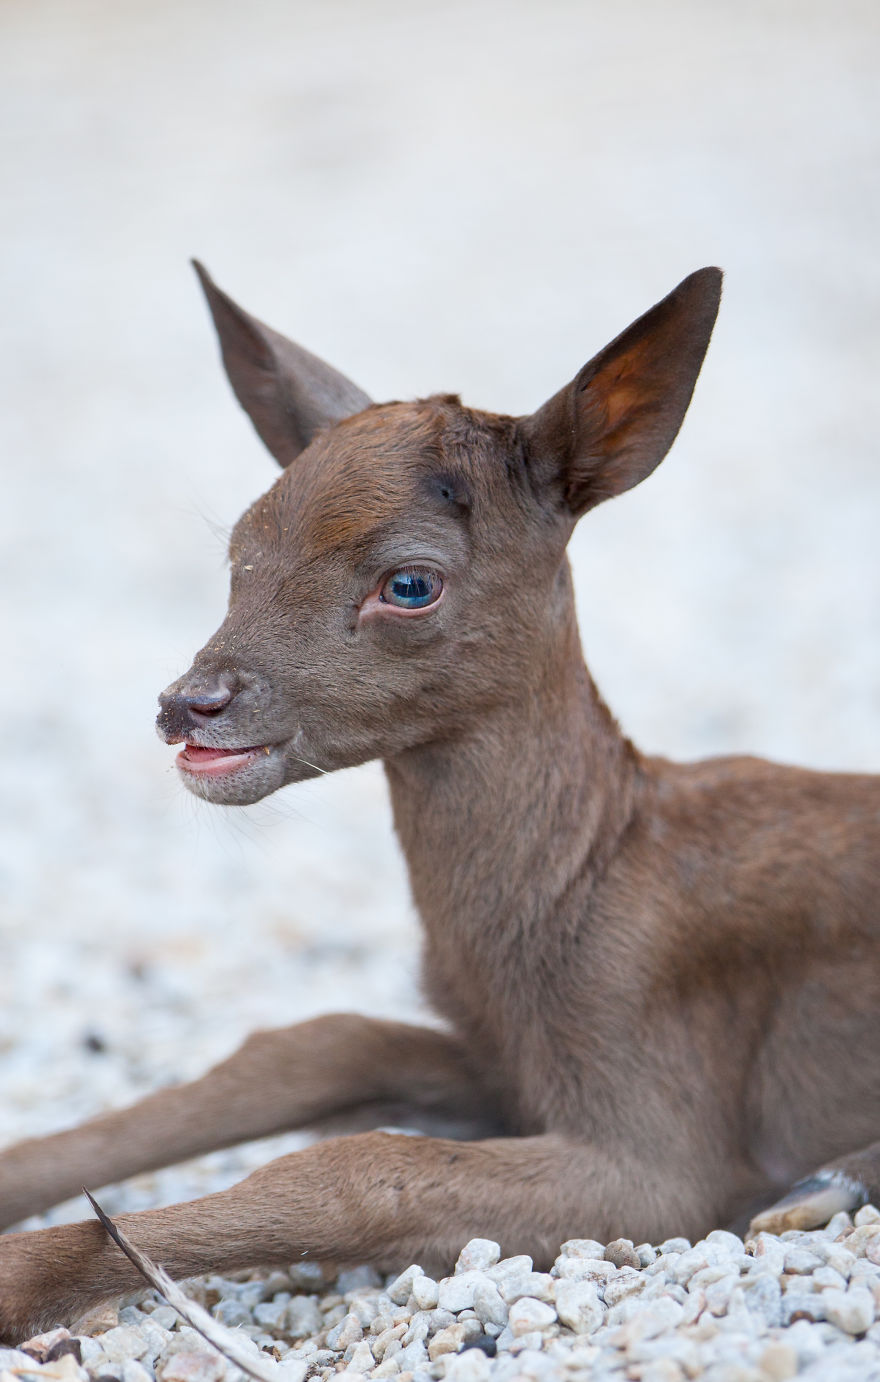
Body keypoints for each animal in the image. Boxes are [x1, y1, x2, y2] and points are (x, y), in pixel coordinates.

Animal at [2, 264, 879, 1345]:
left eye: (409, 582)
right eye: (239, 551)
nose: (188, 704)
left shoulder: (671, 1130)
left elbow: (360, 1167)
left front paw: (17, 1278)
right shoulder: (506, 1063)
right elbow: (317, 1044)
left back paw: (829, 1181)